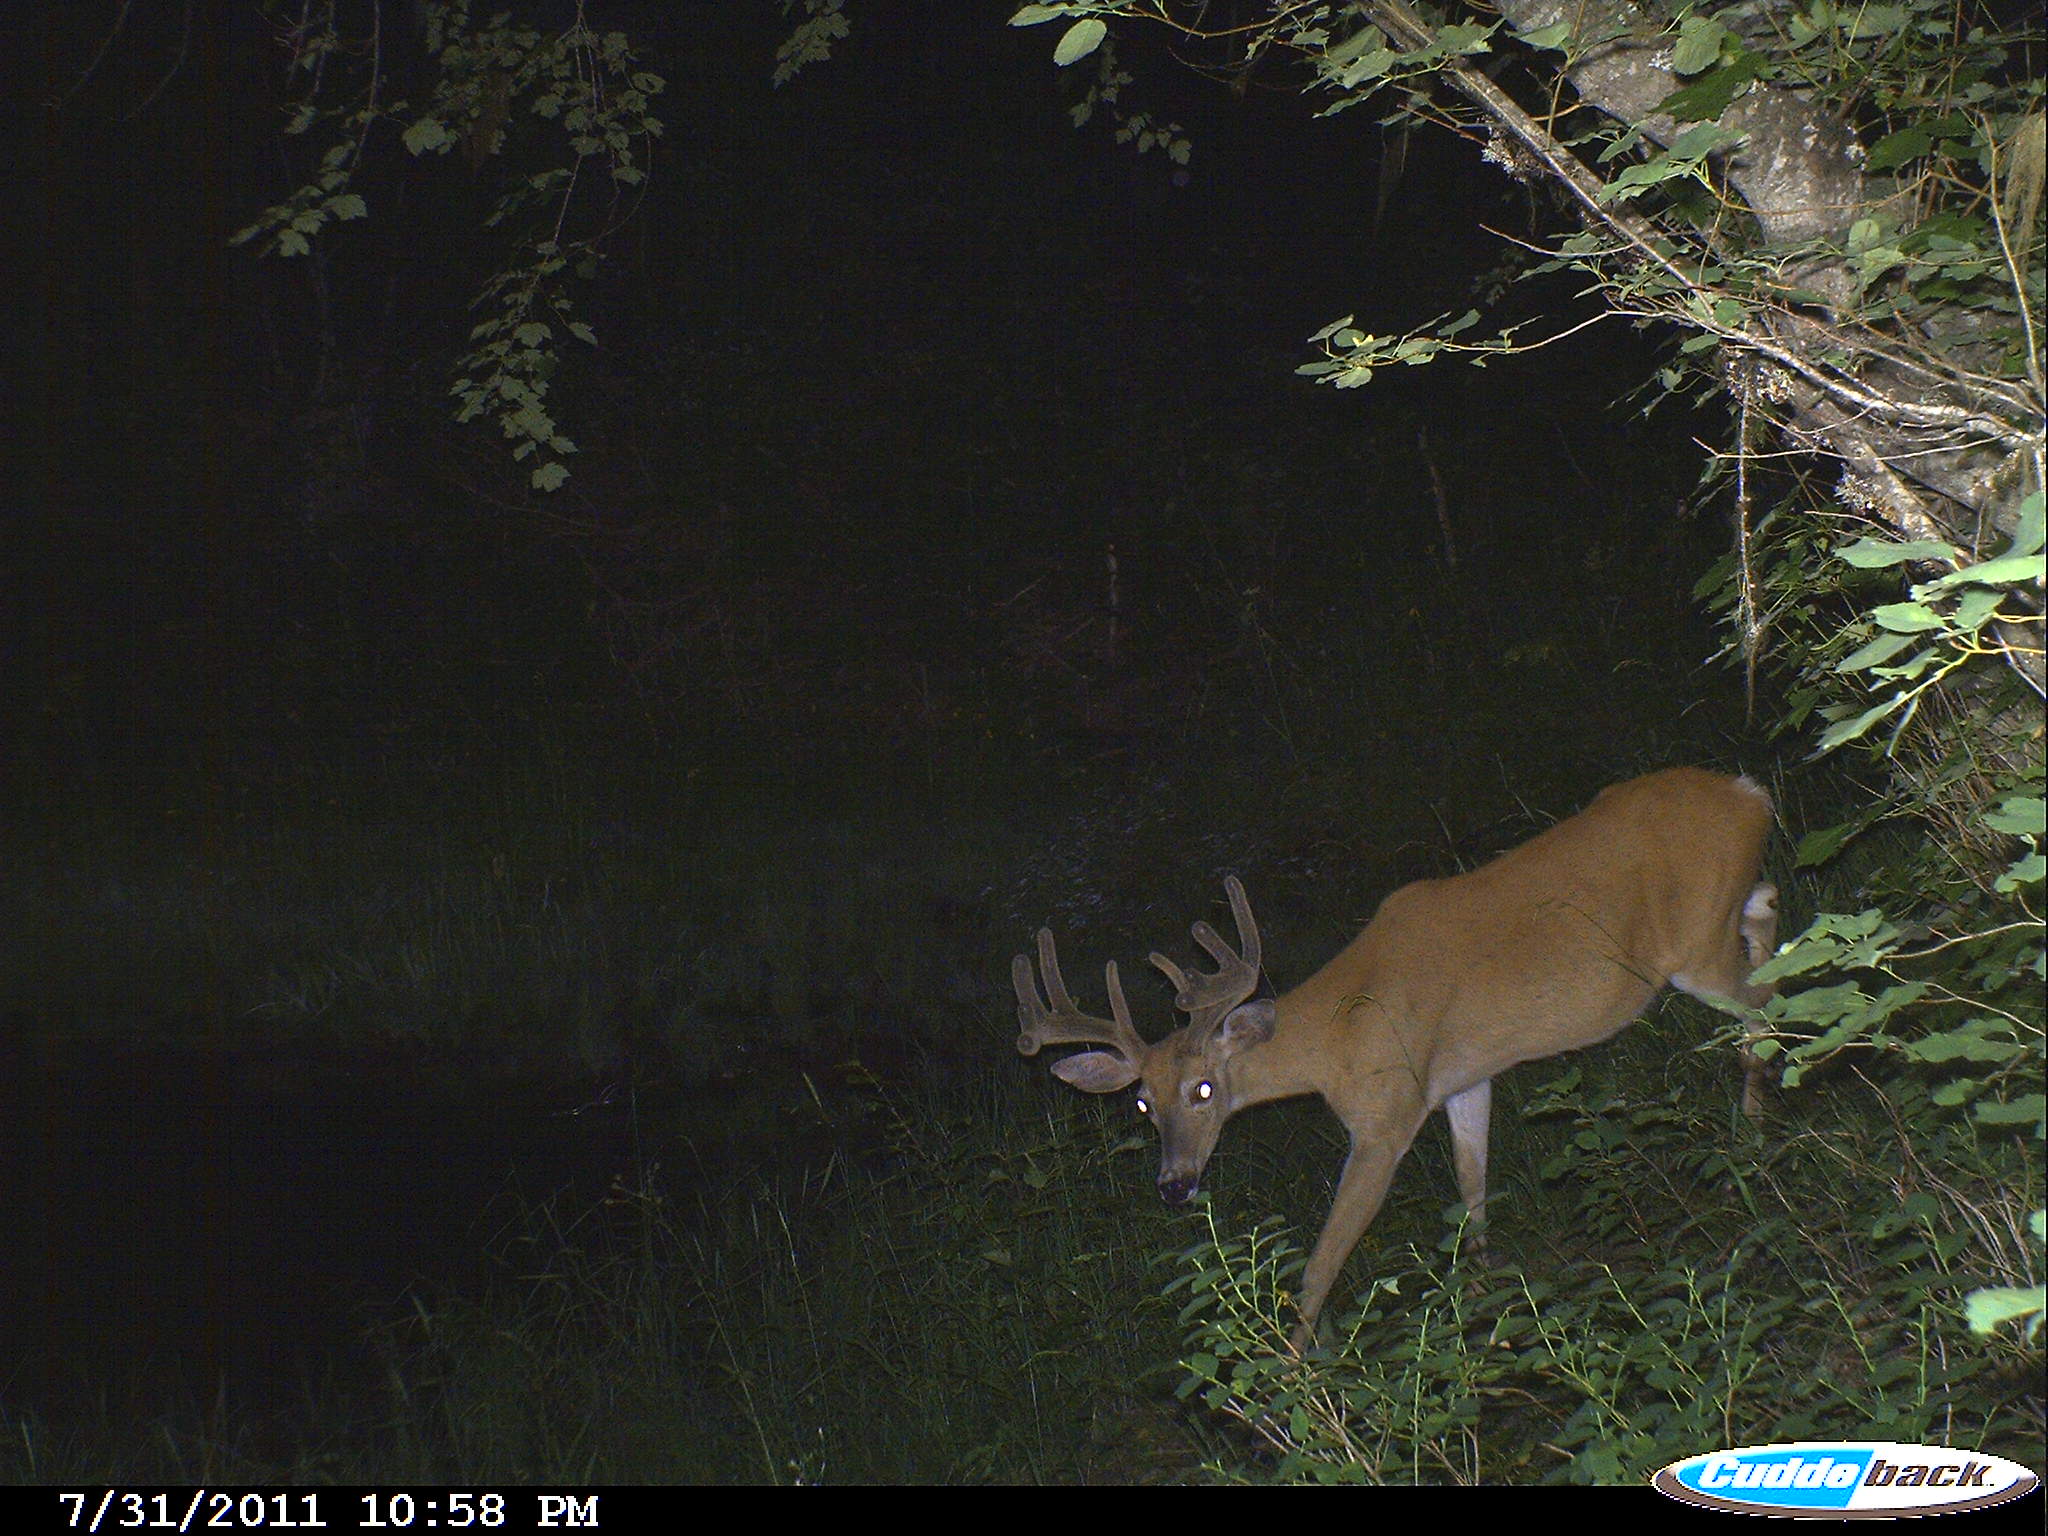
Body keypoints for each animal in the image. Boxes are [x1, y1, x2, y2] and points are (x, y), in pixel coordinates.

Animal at [1013, 767, 1779, 1353]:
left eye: (1204, 1090)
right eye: (1143, 1101)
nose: (1174, 1185)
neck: (1340, 1035)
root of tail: (1750, 793)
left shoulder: (1386, 1117)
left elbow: (1321, 1264)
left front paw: (1292, 1384)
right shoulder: (1464, 1079)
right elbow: (1472, 1191)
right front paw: (1486, 1294)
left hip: (1695, 947)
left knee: (1765, 999)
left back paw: (1753, 1136)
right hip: (1724, 916)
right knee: (1771, 920)